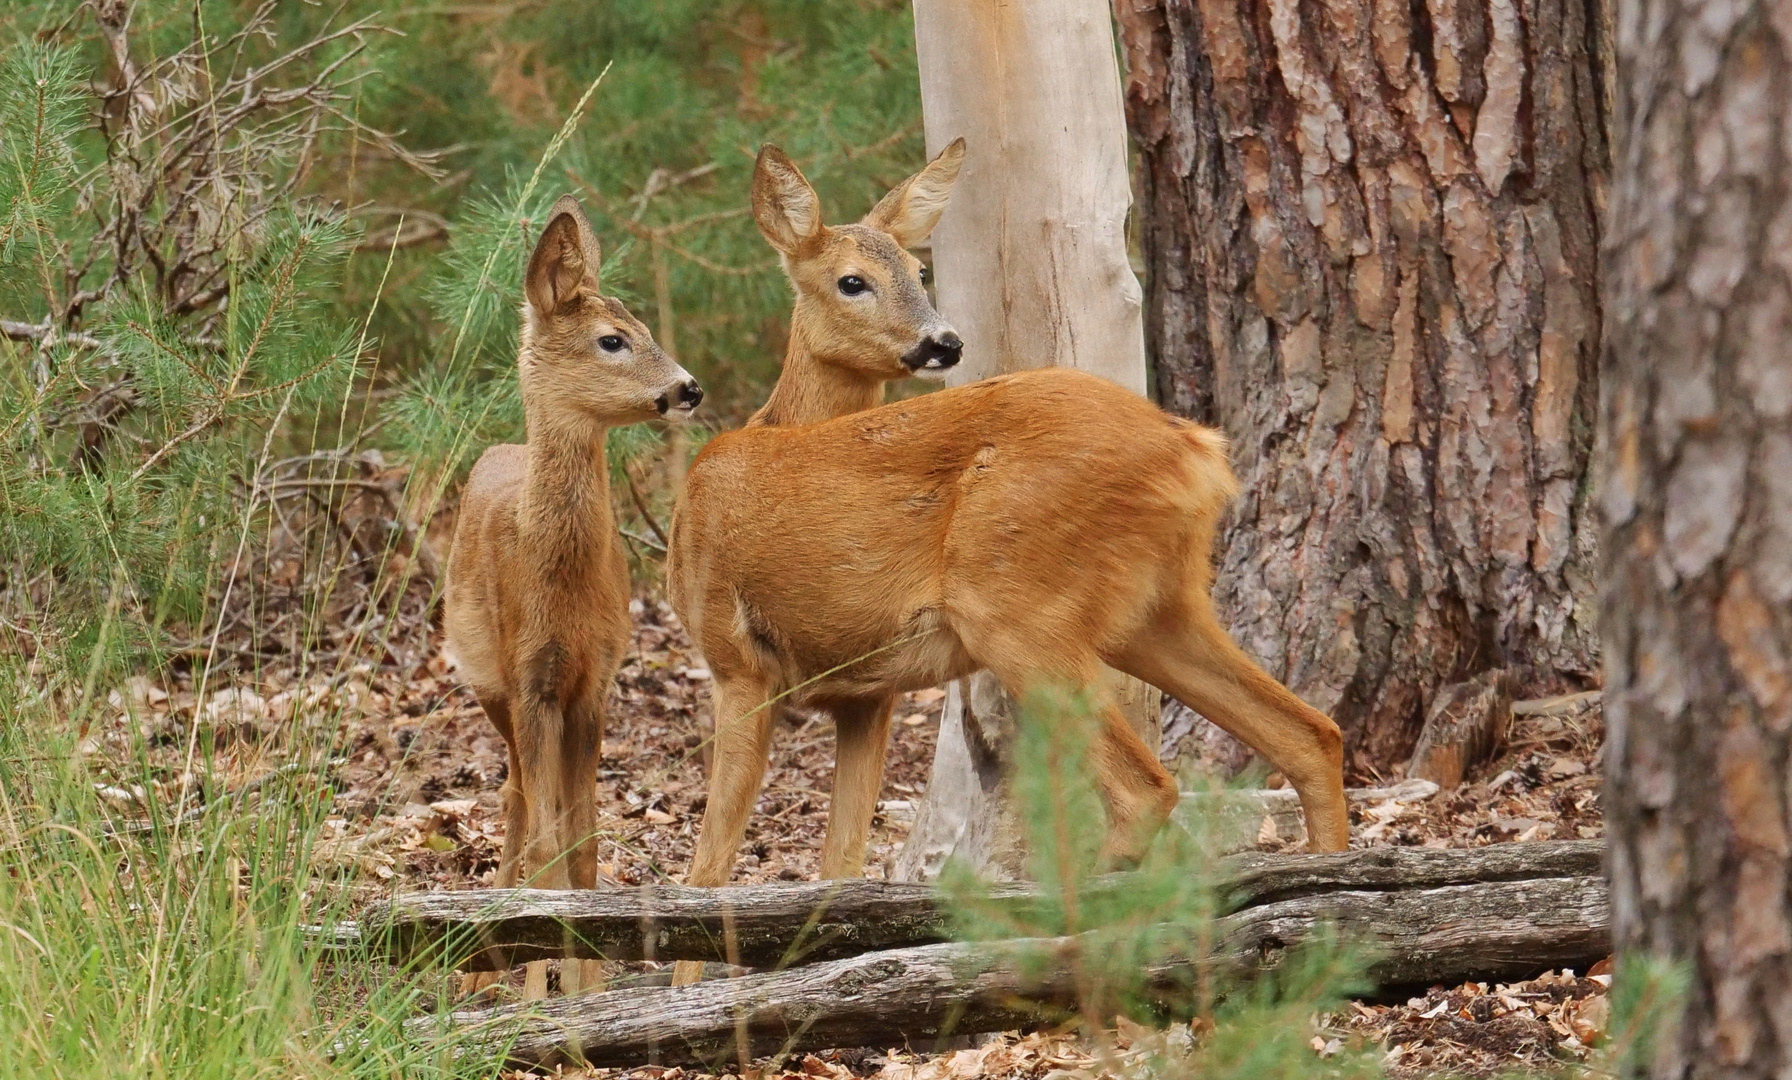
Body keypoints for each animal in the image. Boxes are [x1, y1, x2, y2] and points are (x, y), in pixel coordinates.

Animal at [444, 194, 702, 995]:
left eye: (647, 329)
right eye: (612, 340)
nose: (688, 388)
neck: (559, 580)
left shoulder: (598, 678)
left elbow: (585, 835)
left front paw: (589, 983)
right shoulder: (531, 676)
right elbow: (551, 841)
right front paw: (543, 992)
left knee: (525, 798)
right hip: (488, 683)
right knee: (517, 798)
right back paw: (484, 972)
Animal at [666, 143, 1340, 960]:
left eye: (920, 272)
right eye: (852, 280)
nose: (942, 342)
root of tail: (1193, 450)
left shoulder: (737, 661)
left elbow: (707, 873)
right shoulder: (865, 693)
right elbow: (837, 867)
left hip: (1015, 608)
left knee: (1149, 788)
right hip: (1160, 608)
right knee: (1311, 734)